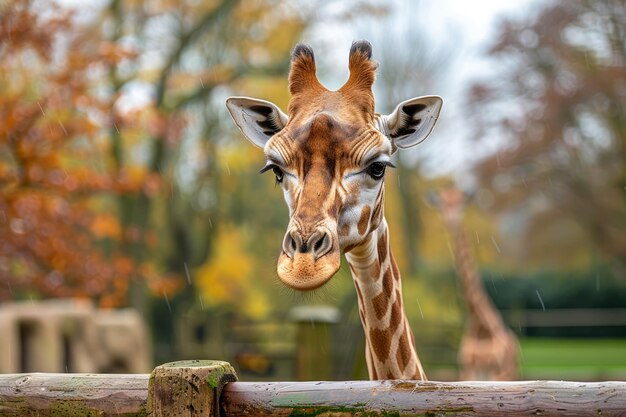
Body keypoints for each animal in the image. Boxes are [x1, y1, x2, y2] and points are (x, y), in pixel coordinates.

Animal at [434, 187, 516, 378]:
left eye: (461, 204)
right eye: (441, 205)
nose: (451, 221)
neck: (480, 326)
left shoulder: (497, 372)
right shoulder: (466, 370)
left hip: (509, 373)